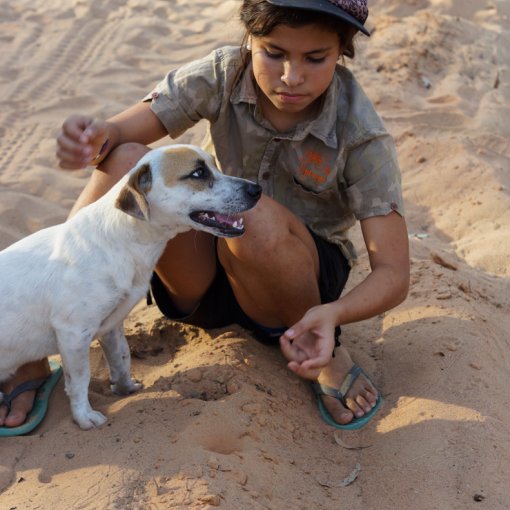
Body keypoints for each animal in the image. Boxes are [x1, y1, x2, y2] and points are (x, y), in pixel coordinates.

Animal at [0, 145, 260, 428]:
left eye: (215, 165)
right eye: (198, 173)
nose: (257, 189)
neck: (119, 241)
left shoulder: (111, 325)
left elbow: (122, 357)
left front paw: (125, 389)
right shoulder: (73, 332)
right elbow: (79, 380)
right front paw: (83, 416)